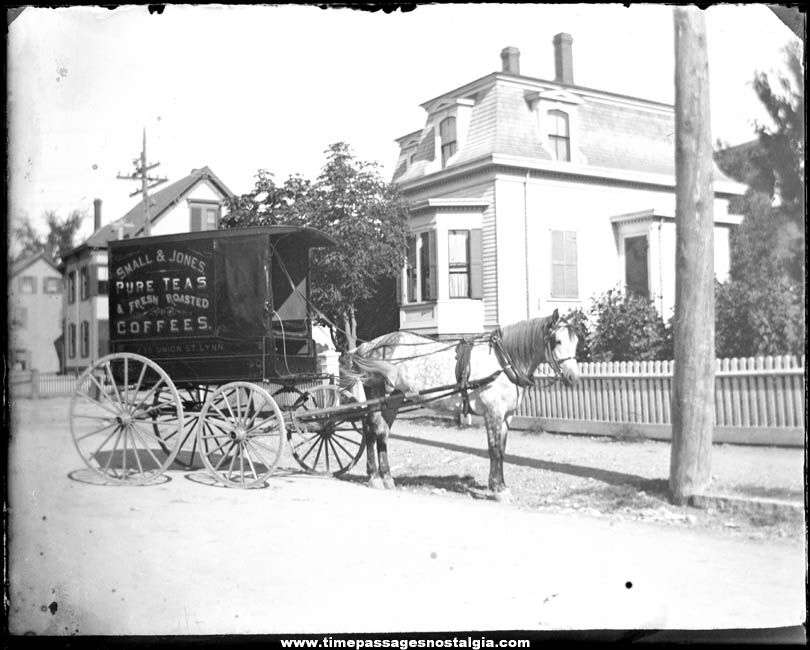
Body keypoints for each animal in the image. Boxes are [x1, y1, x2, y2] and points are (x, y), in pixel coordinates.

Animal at [338, 308, 576, 496]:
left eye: (576, 342)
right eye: (557, 341)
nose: (572, 377)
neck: (503, 362)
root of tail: (366, 346)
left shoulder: (507, 416)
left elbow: (502, 449)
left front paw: (500, 486)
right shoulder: (493, 413)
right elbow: (494, 450)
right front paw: (498, 489)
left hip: (393, 400)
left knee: (382, 432)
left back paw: (387, 477)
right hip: (377, 396)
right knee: (371, 430)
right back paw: (374, 477)